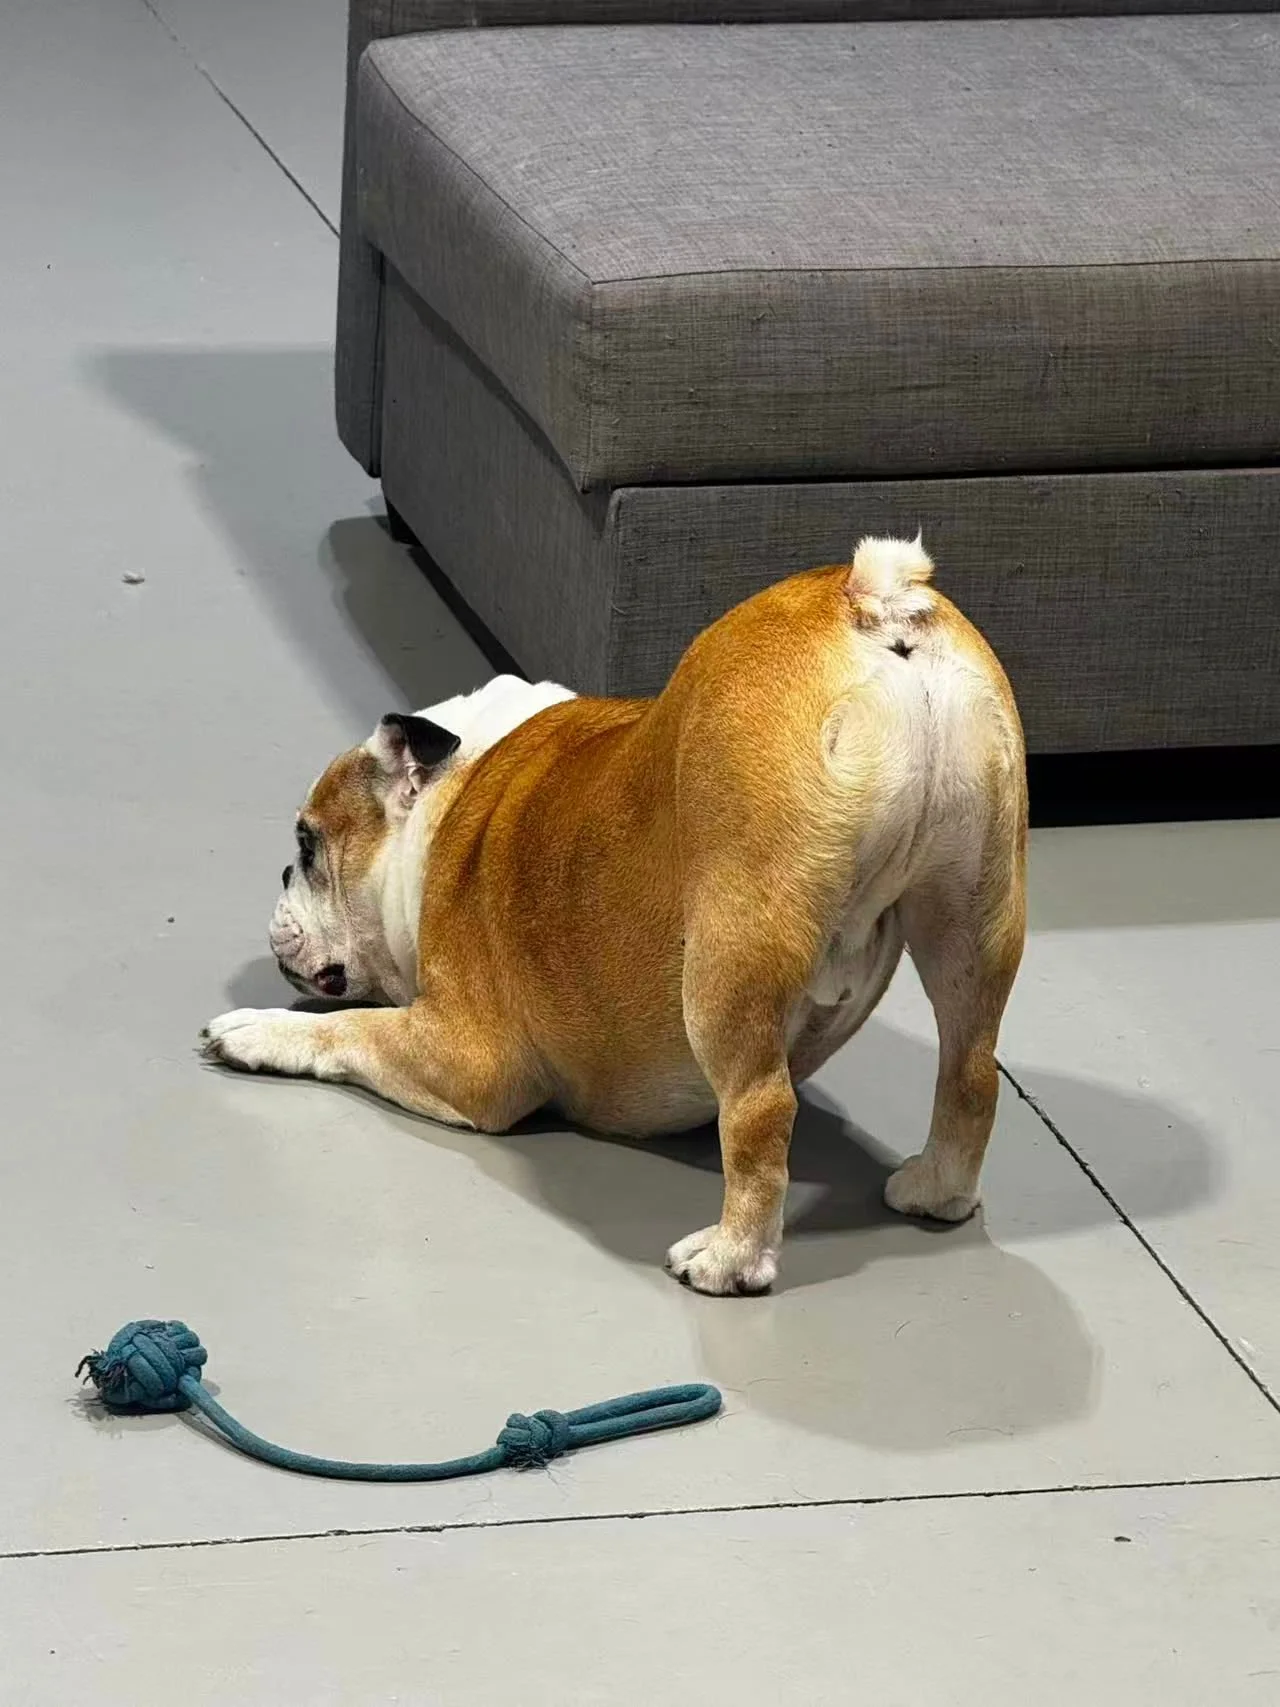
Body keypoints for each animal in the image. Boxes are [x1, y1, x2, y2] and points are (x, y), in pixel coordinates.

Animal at [203, 538, 1026, 1295]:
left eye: (308, 846)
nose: (284, 873)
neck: (457, 786)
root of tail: (869, 598)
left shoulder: (466, 1056)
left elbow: (347, 1030)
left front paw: (254, 1031)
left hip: (728, 959)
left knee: (761, 1111)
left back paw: (730, 1257)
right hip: (972, 918)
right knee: (971, 1069)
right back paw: (937, 1190)